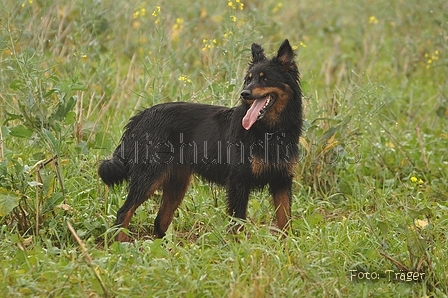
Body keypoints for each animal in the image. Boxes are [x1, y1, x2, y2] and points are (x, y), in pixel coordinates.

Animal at [97, 39, 300, 241]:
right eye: (249, 79)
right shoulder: (239, 182)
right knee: (124, 212)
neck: (269, 131)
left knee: (160, 220)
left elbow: (286, 221)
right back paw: (122, 243)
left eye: (265, 79)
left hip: (176, 183)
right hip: (149, 177)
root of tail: (141, 115)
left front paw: (286, 245)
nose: (244, 93)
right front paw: (237, 246)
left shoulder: (282, 181)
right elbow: (238, 225)